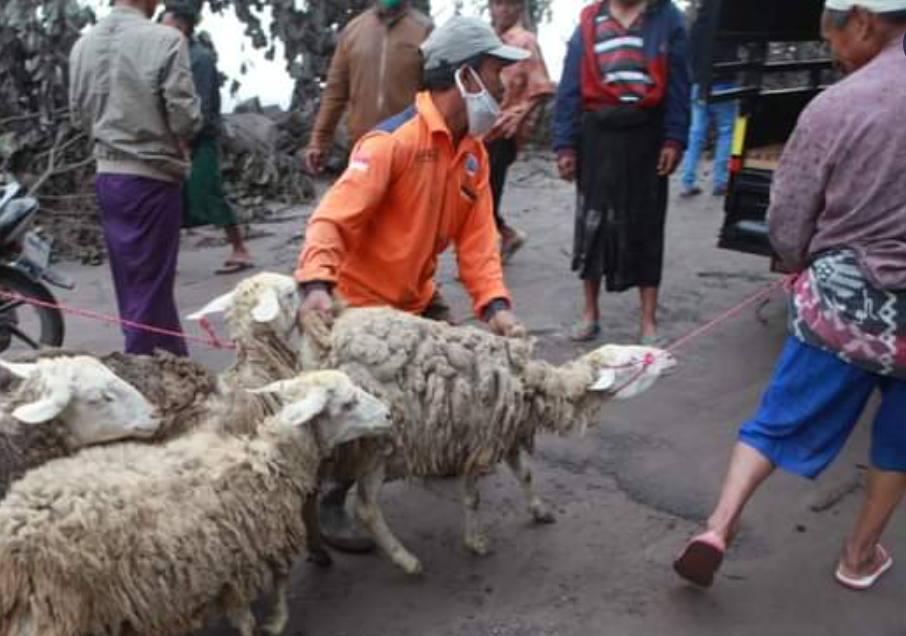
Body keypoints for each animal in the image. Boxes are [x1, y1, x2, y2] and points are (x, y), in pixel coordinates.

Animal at [296, 306, 672, 572]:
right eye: (633, 360)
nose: (670, 355)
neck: (531, 385)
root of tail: (327, 344)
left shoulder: (508, 434)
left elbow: (526, 474)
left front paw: (540, 510)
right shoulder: (481, 439)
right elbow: (473, 497)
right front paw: (476, 542)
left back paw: (318, 551)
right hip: (377, 441)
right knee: (365, 507)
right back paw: (406, 560)